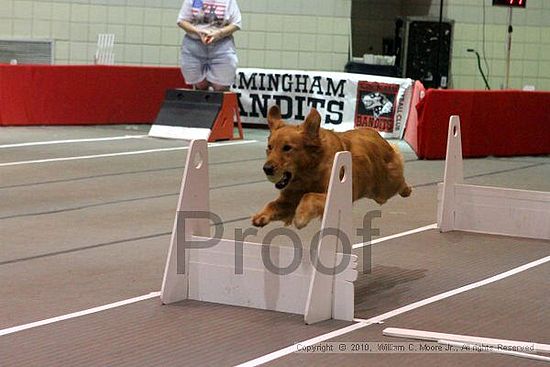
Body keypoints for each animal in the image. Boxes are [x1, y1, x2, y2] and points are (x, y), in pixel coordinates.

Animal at [252, 105, 412, 229]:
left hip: (385, 186)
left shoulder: (331, 195)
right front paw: (261, 216)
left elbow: (308, 196)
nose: (267, 168)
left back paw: (407, 190)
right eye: (269, 147)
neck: (308, 172)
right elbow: (273, 204)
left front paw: (301, 217)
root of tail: (376, 134)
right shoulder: (289, 199)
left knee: (400, 182)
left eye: (287, 148)